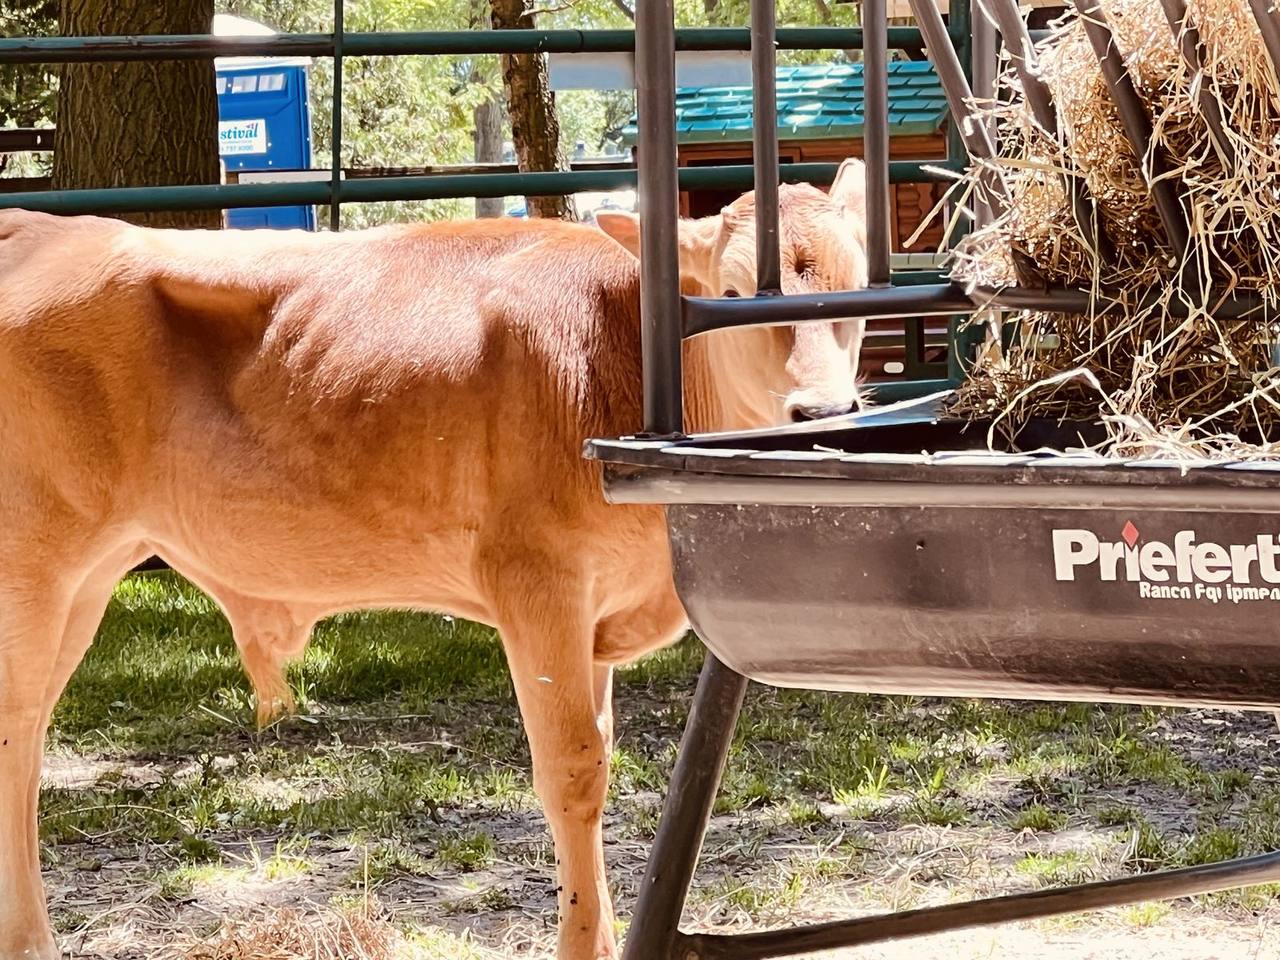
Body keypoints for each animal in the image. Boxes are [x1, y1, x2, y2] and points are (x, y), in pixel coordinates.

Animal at [0, 157, 868, 960]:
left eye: (855, 286)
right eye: (731, 294)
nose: (822, 410)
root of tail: (38, 229)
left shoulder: (595, 616)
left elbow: (602, 753)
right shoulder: (538, 584)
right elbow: (573, 770)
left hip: (90, 576)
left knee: (35, 736)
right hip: (34, 565)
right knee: (15, 734)